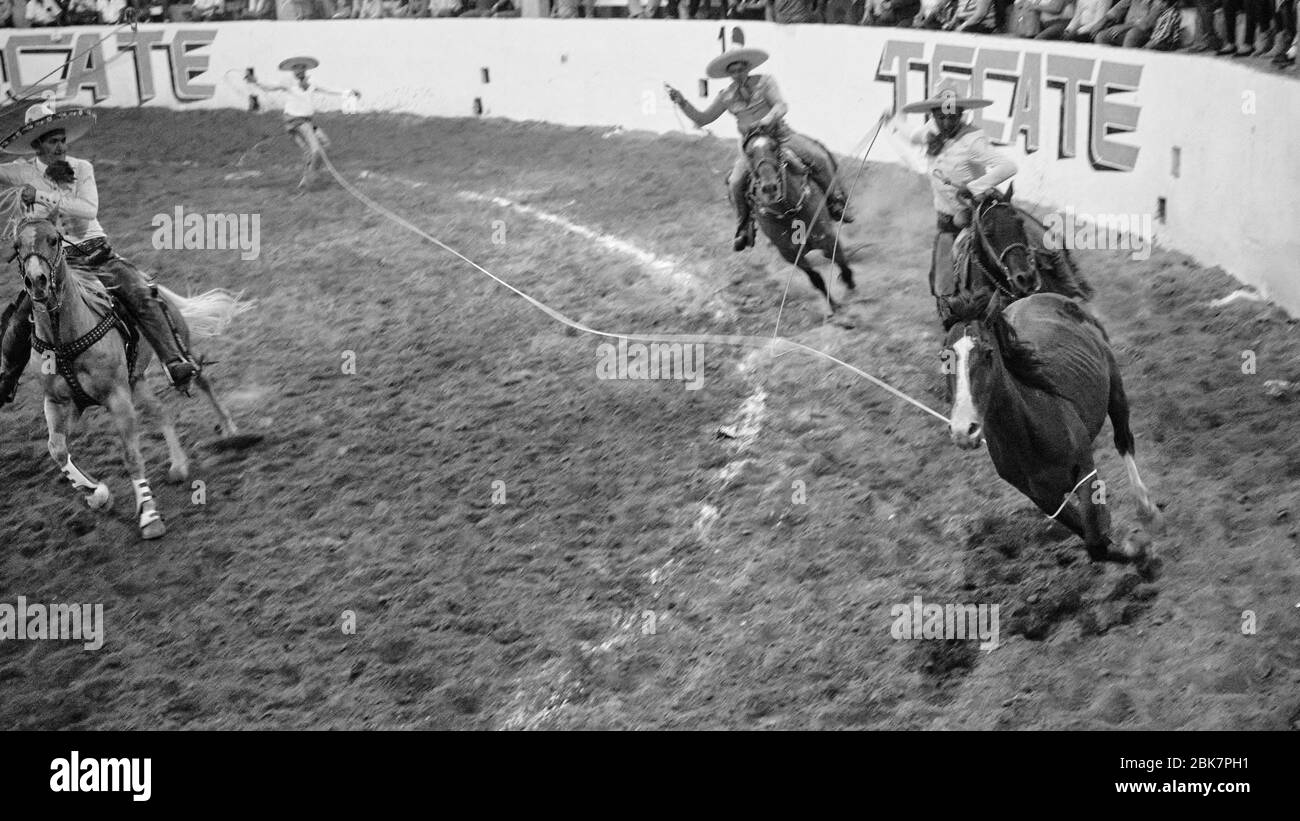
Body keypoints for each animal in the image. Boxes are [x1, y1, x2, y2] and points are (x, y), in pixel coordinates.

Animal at [11, 214, 254, 543]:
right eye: (16, 246)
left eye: (53, 239)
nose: (36, 281)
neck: (64, 337)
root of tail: (153, 285)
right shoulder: (59, 401)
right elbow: (57, 449)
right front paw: (97, 494)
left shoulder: (117, 397)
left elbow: (131, 454)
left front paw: (149, 516)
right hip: (136, 381)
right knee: (161, 411)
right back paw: (179, 465)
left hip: (177, 351)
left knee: (201, 379)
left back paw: (229, 429)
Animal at [743, 125, 863, 316]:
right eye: (749, 154)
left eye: (774, 148)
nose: (769, 187)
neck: (789, 212)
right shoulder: (791, 255)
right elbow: (816, 279)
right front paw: (833, 306)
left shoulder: (828, 239)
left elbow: (841, 262)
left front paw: (850, 286)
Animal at [941, 289, 1164, 563]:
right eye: (944, 357)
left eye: (988, 353)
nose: (964, 430)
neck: (1031, 431)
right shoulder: (1042, 498)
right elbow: (1094, 540)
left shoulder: (1084, 471)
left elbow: (1096, 540)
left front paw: (1142, 551)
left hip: (1115, 387)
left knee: (1124, 441)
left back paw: (1147, 512)